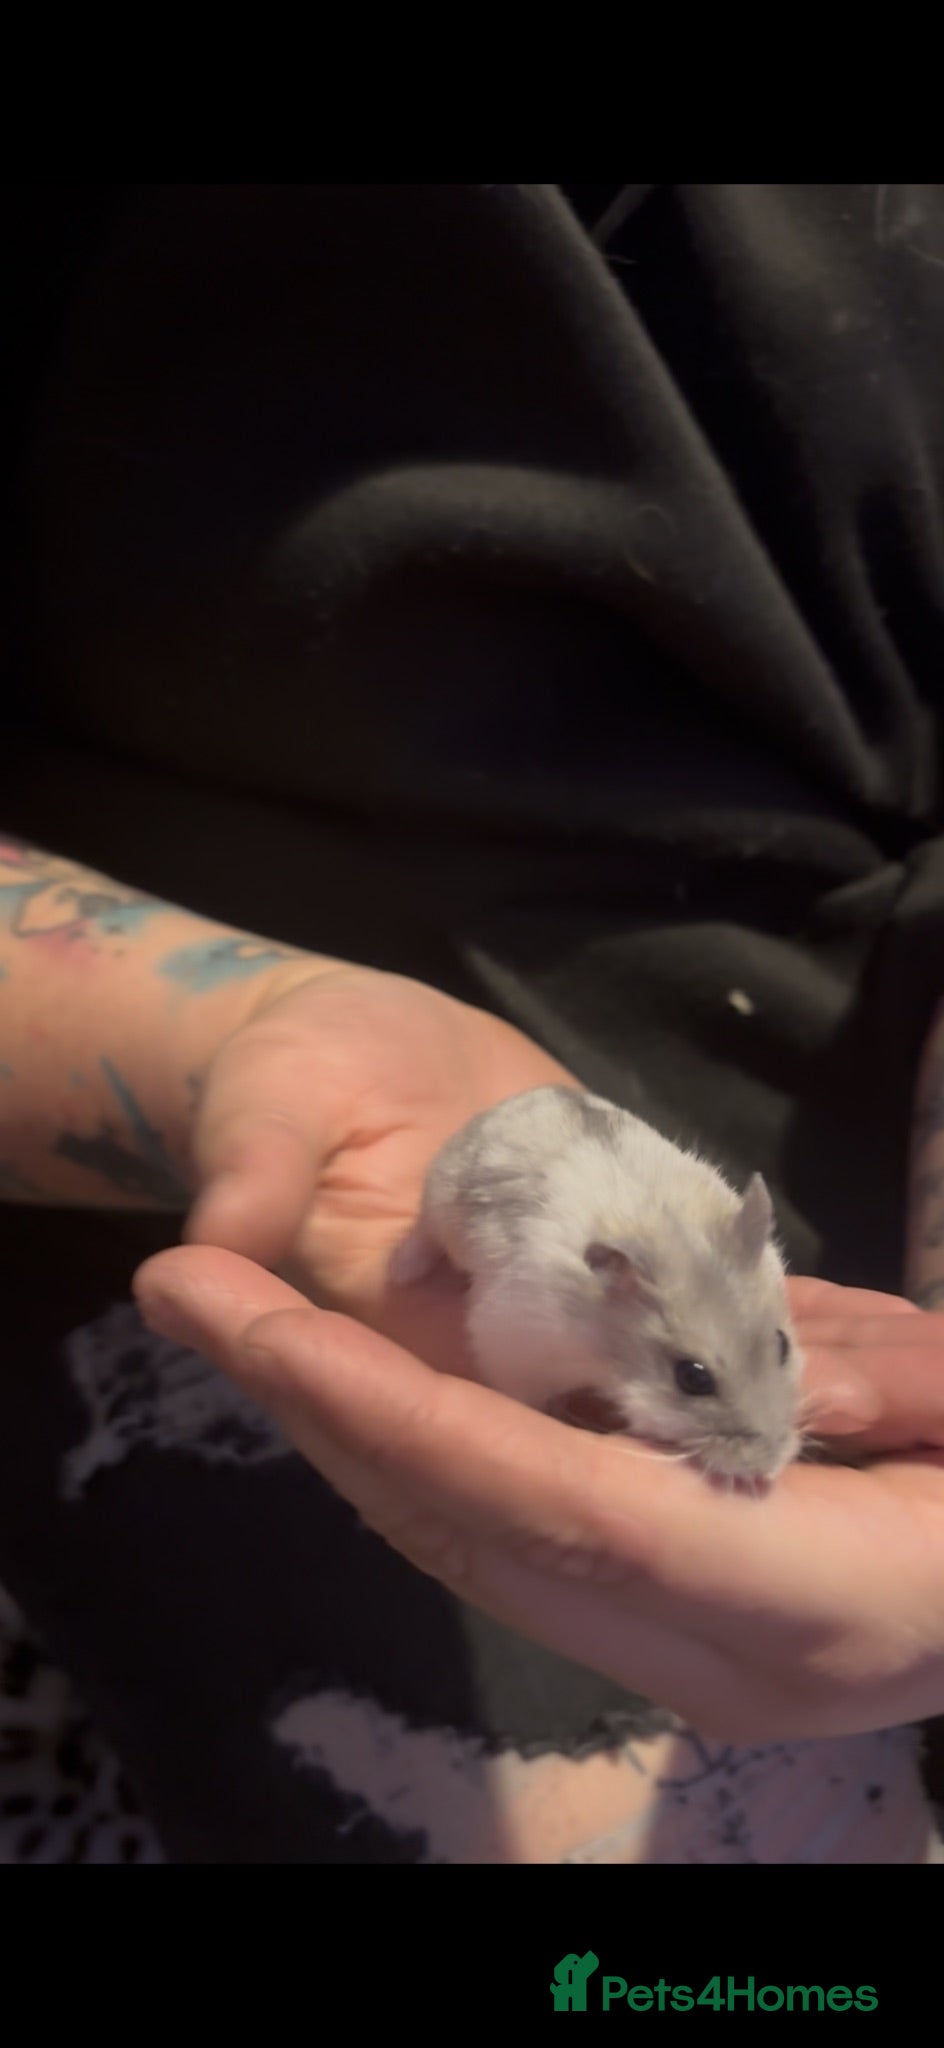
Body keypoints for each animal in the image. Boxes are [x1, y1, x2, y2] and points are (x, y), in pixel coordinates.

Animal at [390, 1085, 803, 1485]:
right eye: (692, 1377)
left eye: (783, 1344)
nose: (770, 1469)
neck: (605, 1348)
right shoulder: (514, 1349)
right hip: (438, 1199)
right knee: (425, 1232)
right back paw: (400, 1273)